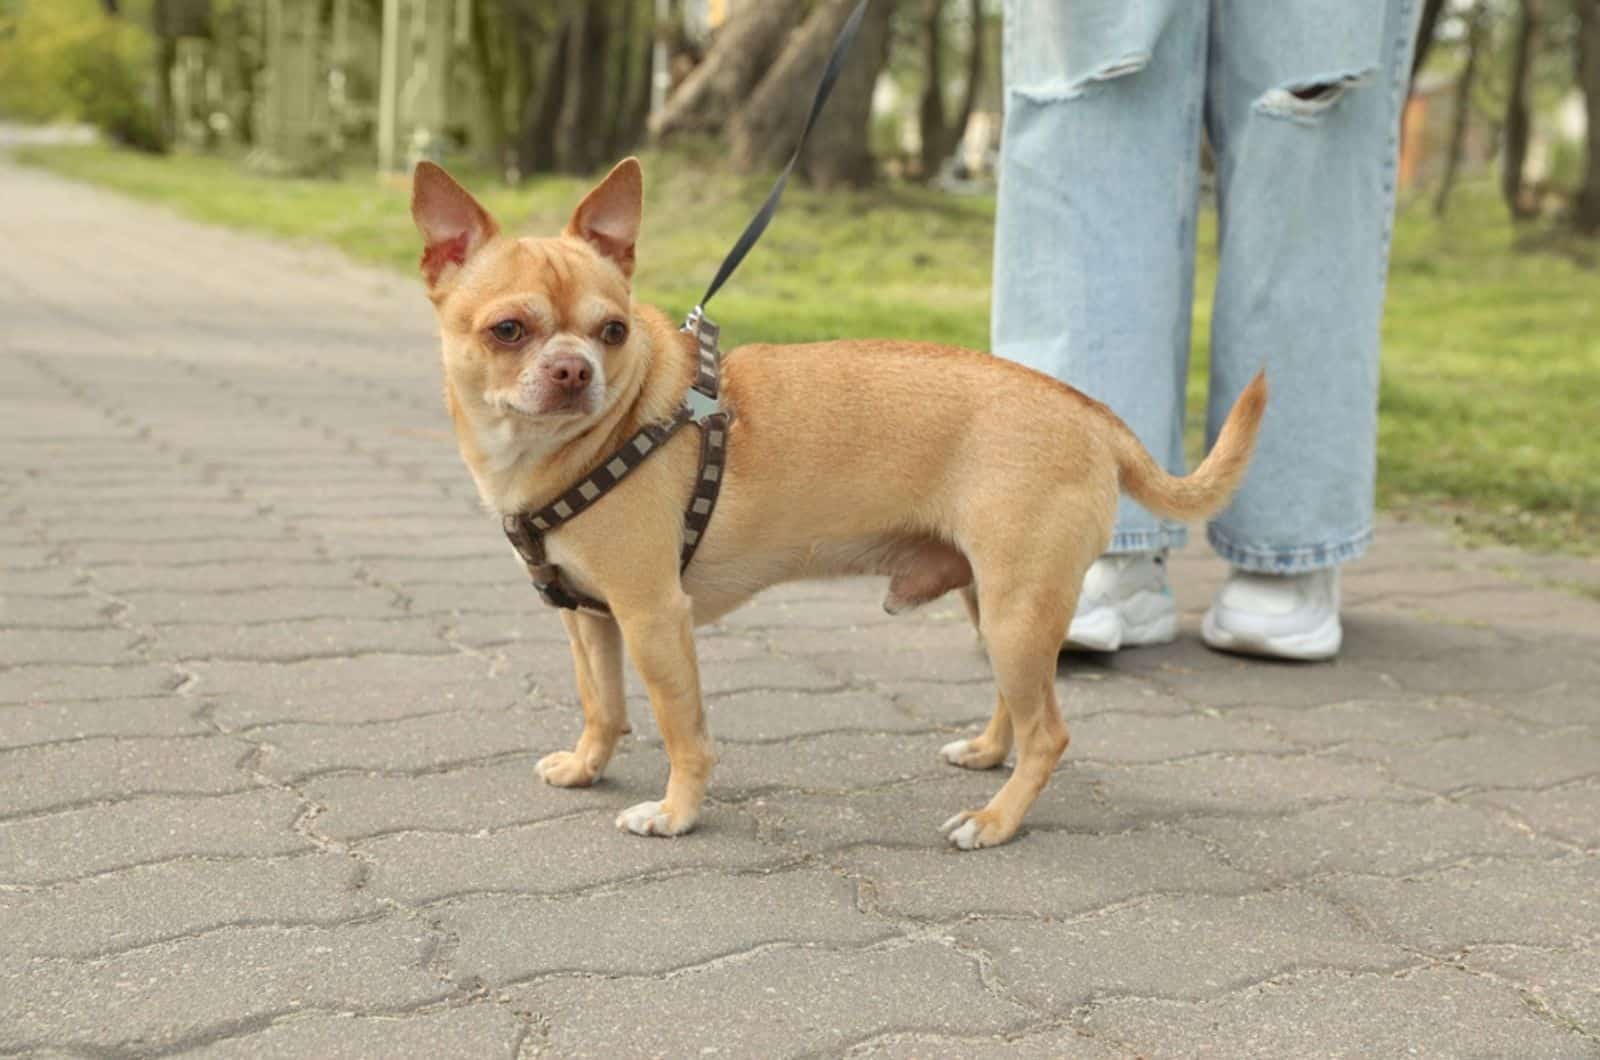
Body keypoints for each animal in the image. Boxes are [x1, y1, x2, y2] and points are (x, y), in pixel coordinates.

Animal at [409, 160, 1260, 858]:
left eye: (612, 331)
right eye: (508, 330)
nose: (574, 370)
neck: (590, 441)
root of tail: (1090, 413)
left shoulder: (653, 617)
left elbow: (683, 728)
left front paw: (677, 813)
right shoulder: (592, 620)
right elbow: (602, 704)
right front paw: (589, 766)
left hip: (1018, 610)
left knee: (1050, 730)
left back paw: (995, 819)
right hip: (995, 606)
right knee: (1018, 706)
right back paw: (988, 756)